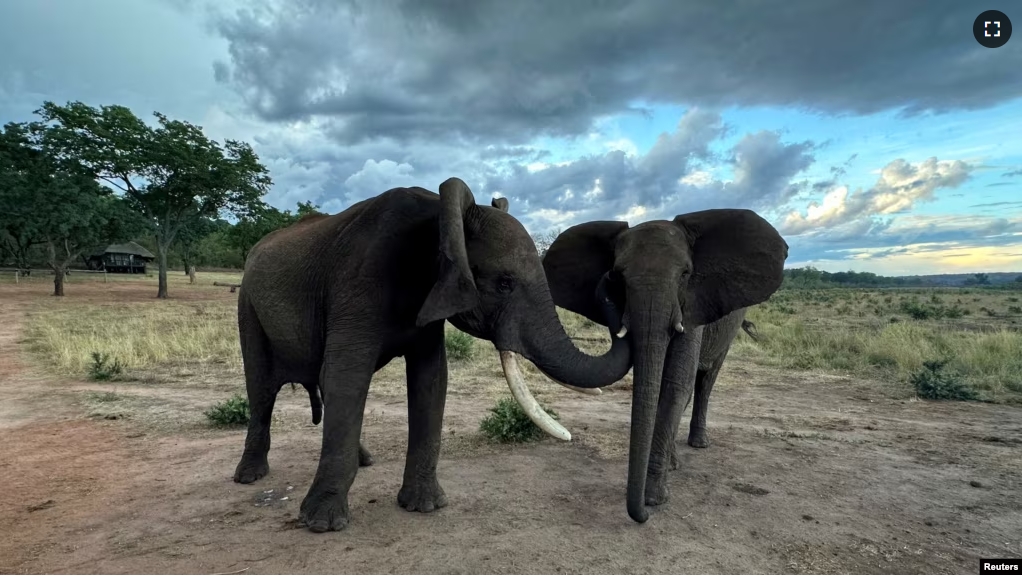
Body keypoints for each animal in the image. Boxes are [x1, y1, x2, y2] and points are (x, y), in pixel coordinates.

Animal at [543, 209, 788, 522]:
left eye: (685, 274)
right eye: (618, 276)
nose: (642, 516)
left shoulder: (693, 305)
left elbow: (675, 384)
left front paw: (653, 499)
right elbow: (656, 385)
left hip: (729, 331)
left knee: (705, 381)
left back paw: (699, 443)